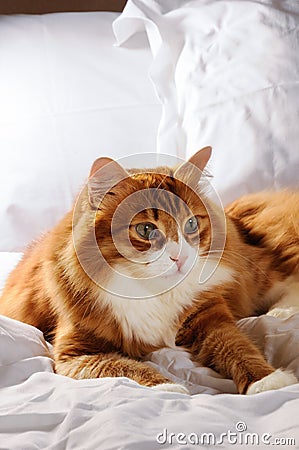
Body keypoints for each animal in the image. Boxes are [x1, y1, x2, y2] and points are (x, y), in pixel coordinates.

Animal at [0, 148, 298, 394]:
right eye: (145, 229)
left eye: (191, 224)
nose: (180, 257)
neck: (150, 290)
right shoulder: (73, 353)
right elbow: (124, 367)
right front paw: (169, 387)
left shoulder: (210, 318)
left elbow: (238, 347)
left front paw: (268, 381)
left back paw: (281, 313)